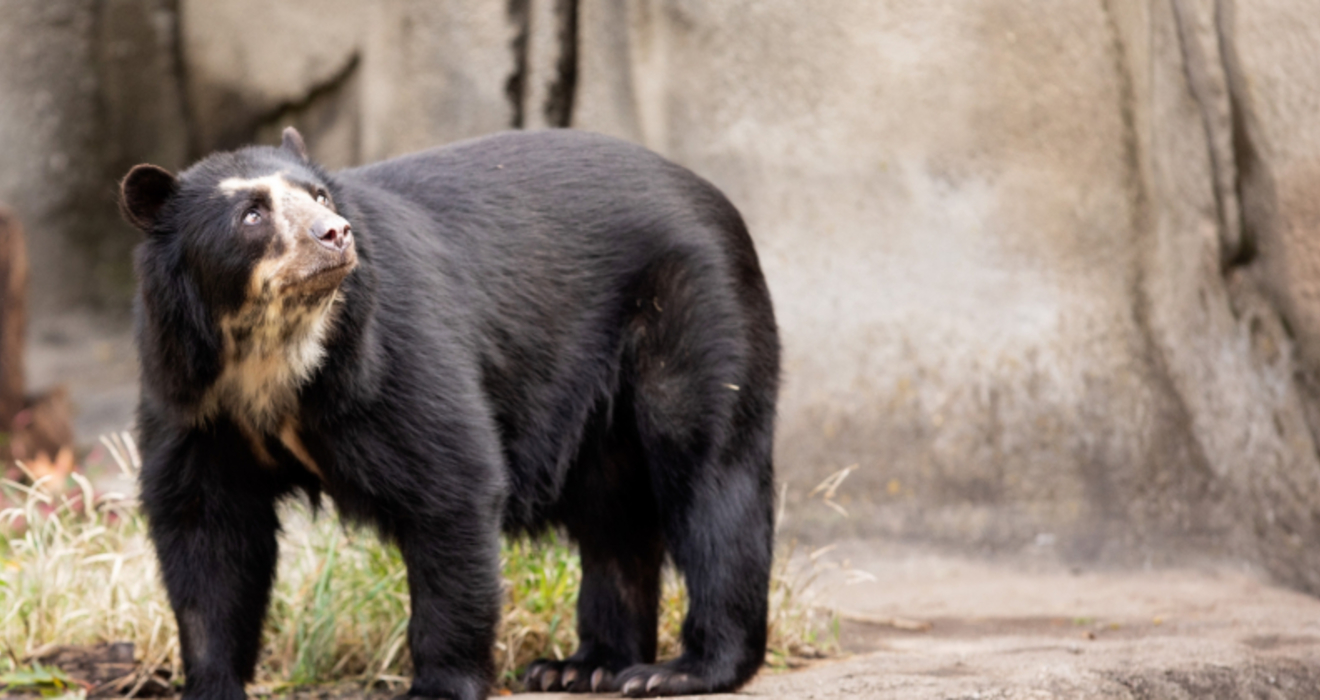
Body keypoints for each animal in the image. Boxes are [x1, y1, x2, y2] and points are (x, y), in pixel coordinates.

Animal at [120, 127, 780, 700]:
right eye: (252, 215)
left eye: (319, 195)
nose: (335, 233)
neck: (273, 356)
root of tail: (709, 192)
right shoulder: (193, 404)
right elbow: (207, 540)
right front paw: (212, 686)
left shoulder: (389, 357)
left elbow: (451, 487)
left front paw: (438, 687)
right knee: (614, 517)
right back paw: (585, 667)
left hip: (694, 309)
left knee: (713, 478)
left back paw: (682, 670)